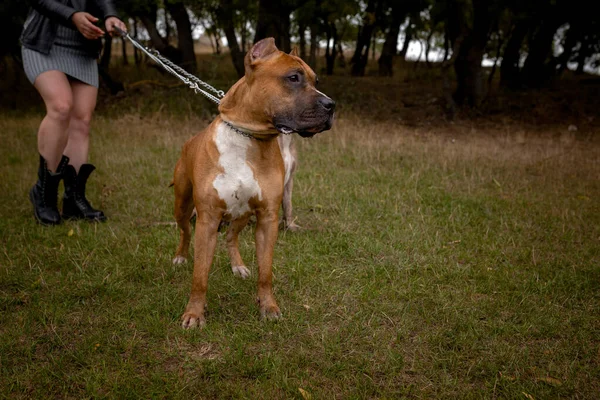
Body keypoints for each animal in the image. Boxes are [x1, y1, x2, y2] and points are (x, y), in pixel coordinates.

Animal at [171, 37, 336, 328]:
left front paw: (268, 306)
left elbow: (266, 272)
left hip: (242, 214)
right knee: (185, 231)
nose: (332, 105)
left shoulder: (267, 218)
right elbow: (200, 275)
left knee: (231, 237)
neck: (248, 137)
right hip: (182, 204)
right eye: (293, 78)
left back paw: (237, 265)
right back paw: (181, 256)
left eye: (315, 80)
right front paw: (194, 313)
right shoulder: (208, 219)